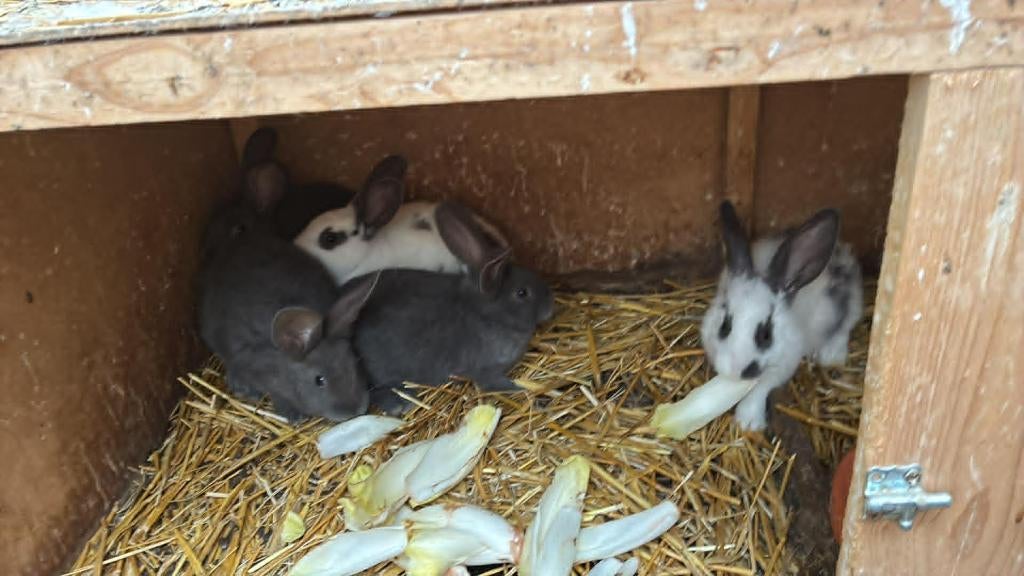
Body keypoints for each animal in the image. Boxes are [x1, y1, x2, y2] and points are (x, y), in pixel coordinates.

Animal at [351, 201, 554, 415]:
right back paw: (401, 403)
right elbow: (498, 385)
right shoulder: (486, 372)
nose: (551, 304)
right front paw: (531, 394)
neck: (486, 313)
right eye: (522, 293)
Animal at [700, 201, 863, 431]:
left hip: (850, 307)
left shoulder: (783, 365)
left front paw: (748, 423)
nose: (736, 369)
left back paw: (831, 356)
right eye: (724, 326)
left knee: (844, 327)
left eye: (766, 334)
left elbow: (760, 389)